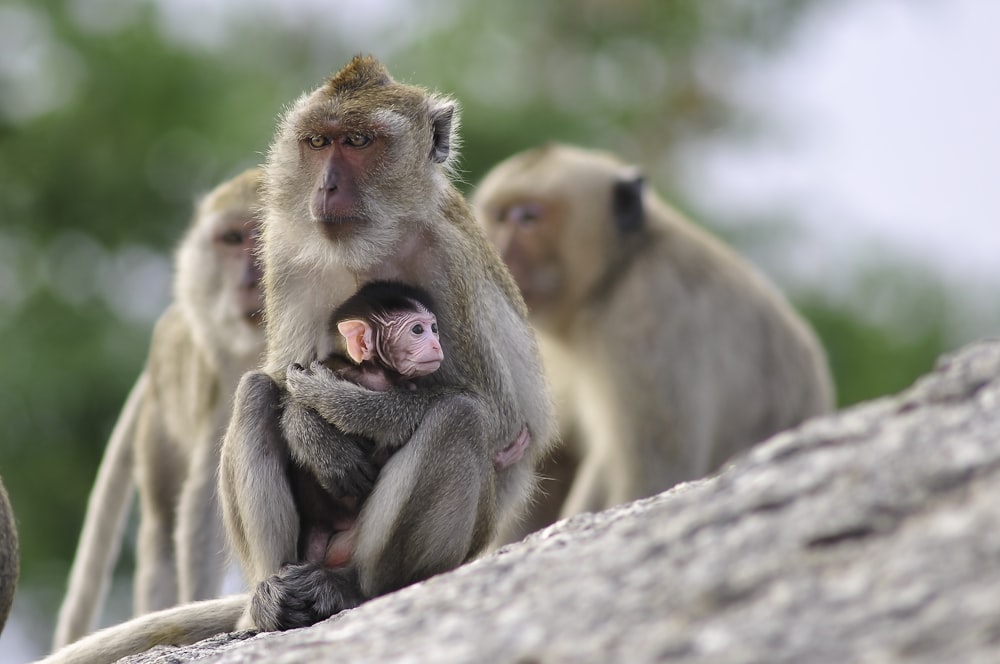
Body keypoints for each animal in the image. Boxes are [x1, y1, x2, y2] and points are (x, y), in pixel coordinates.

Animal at [53, 166, 266, 648]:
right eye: (233, 239)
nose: (252, 279)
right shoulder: (228, 375)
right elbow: (206, 499)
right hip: (159, 423)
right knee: (162, 527)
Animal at [472, 144, 832, 540]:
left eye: (527, 218)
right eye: (498, 216)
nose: (498, 250)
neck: (611, 277)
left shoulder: (648, 313)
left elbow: (652, 475)